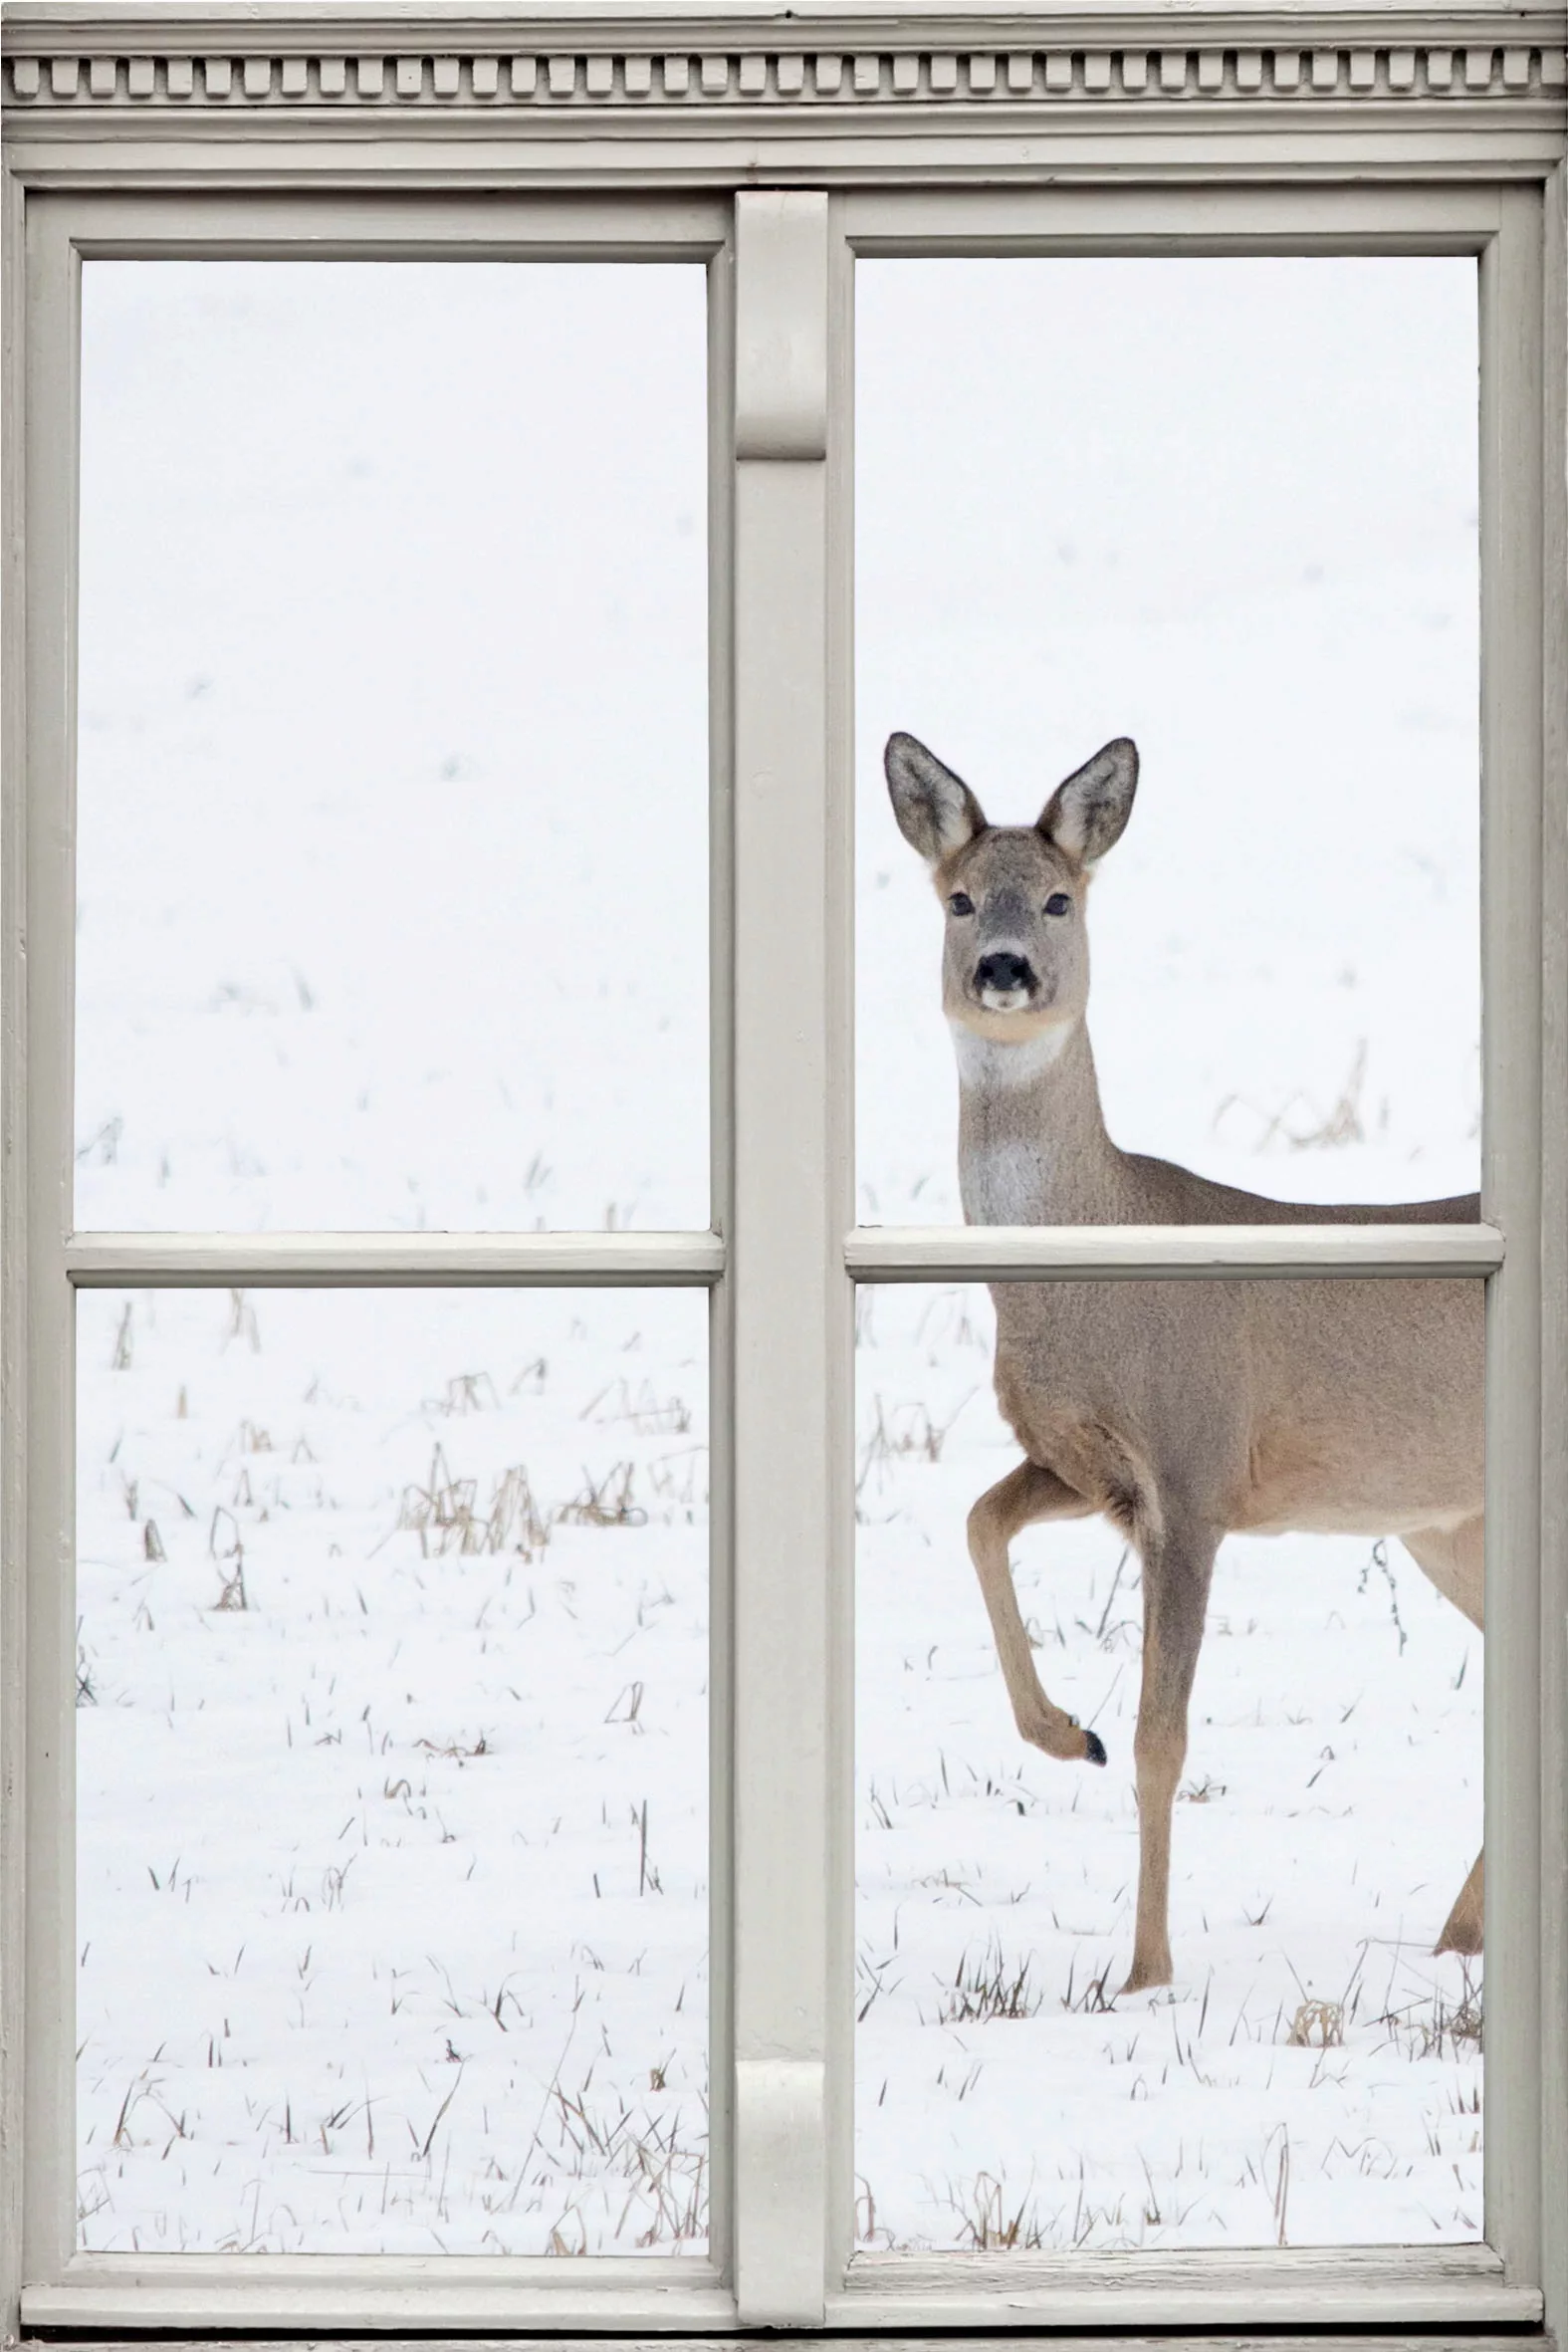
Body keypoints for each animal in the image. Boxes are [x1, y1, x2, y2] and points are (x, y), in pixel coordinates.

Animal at [888, 729, 1494, 1985]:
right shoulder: (1089, 1464)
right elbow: (977, 1519)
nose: (1005, 969)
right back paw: (1455, 1936)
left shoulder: (1196, 1465)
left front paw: (1146, 1973)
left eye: (1061, 898)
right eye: (959, 897)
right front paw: (1064, 1732)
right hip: (1442, 1523)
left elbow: (1164, 1739)